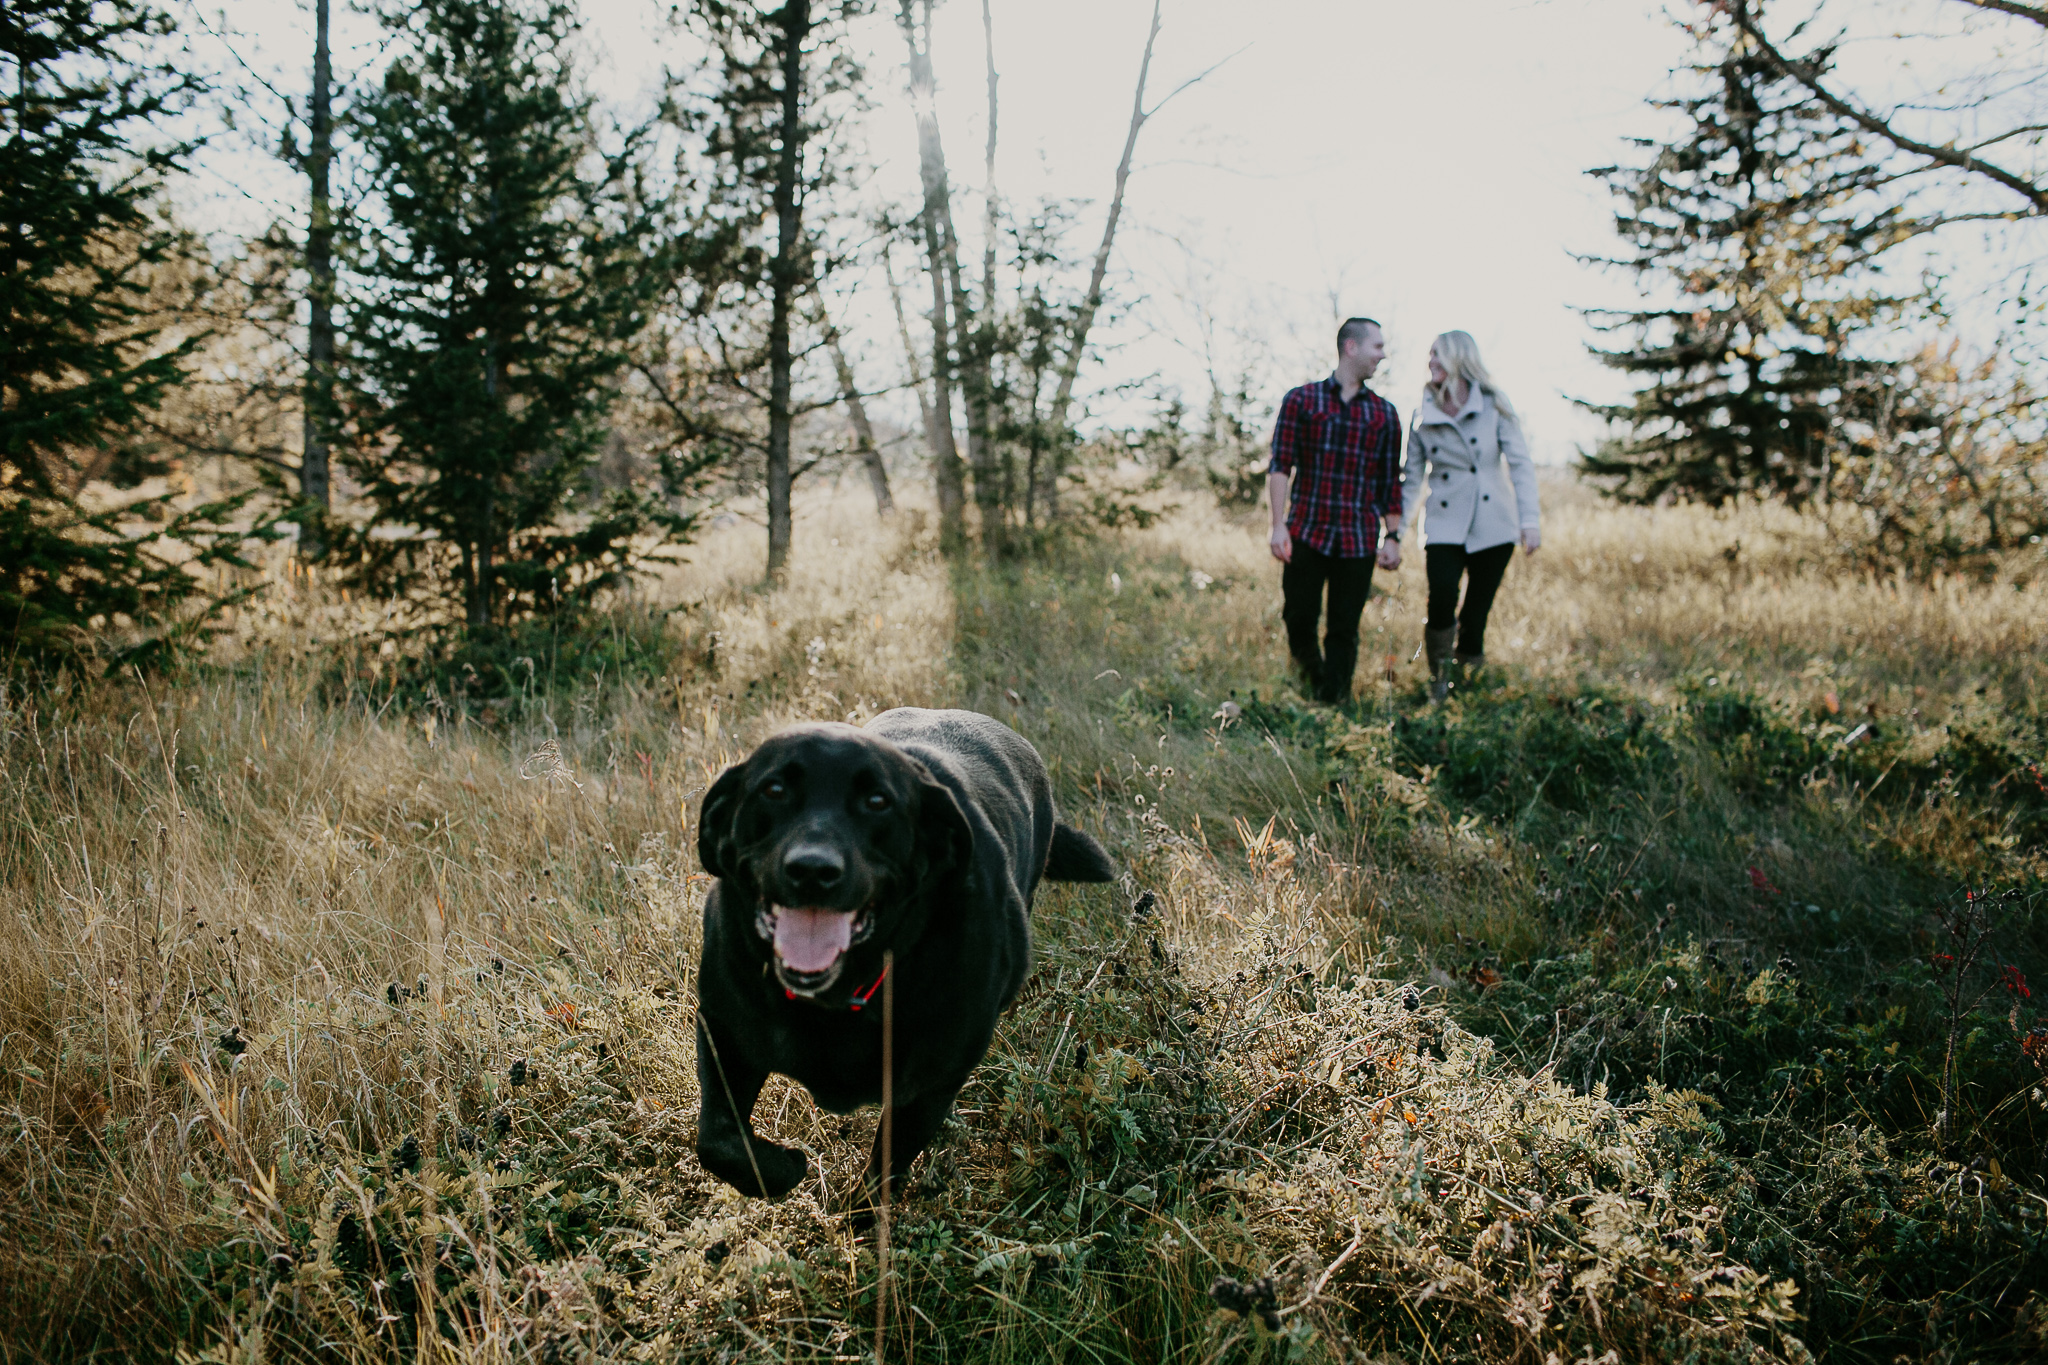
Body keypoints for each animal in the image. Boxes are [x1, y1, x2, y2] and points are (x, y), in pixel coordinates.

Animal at [692, 712, 1114, 1203]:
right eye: (774, 790)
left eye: (878, 802)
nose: (813, 870)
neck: (838, 1001)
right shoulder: (725, 1031)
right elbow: (717, 1141)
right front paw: (781, 1168)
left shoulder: (927, 1091)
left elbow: (882, 1175)